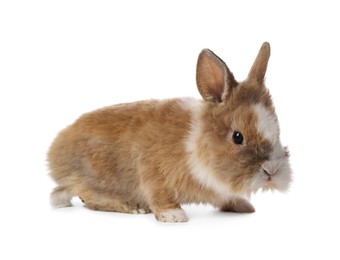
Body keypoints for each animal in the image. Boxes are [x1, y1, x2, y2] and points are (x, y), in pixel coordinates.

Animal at [47, 42, 292, 221]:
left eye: (278, 130)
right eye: (237, 137)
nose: (271, 170)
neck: (195, 144)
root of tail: (54, 153)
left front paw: (243, 206)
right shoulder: (152, 169)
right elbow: (159, 194)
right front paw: (174, 215)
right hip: (93, 176)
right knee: (88, 197)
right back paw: (133, 207)